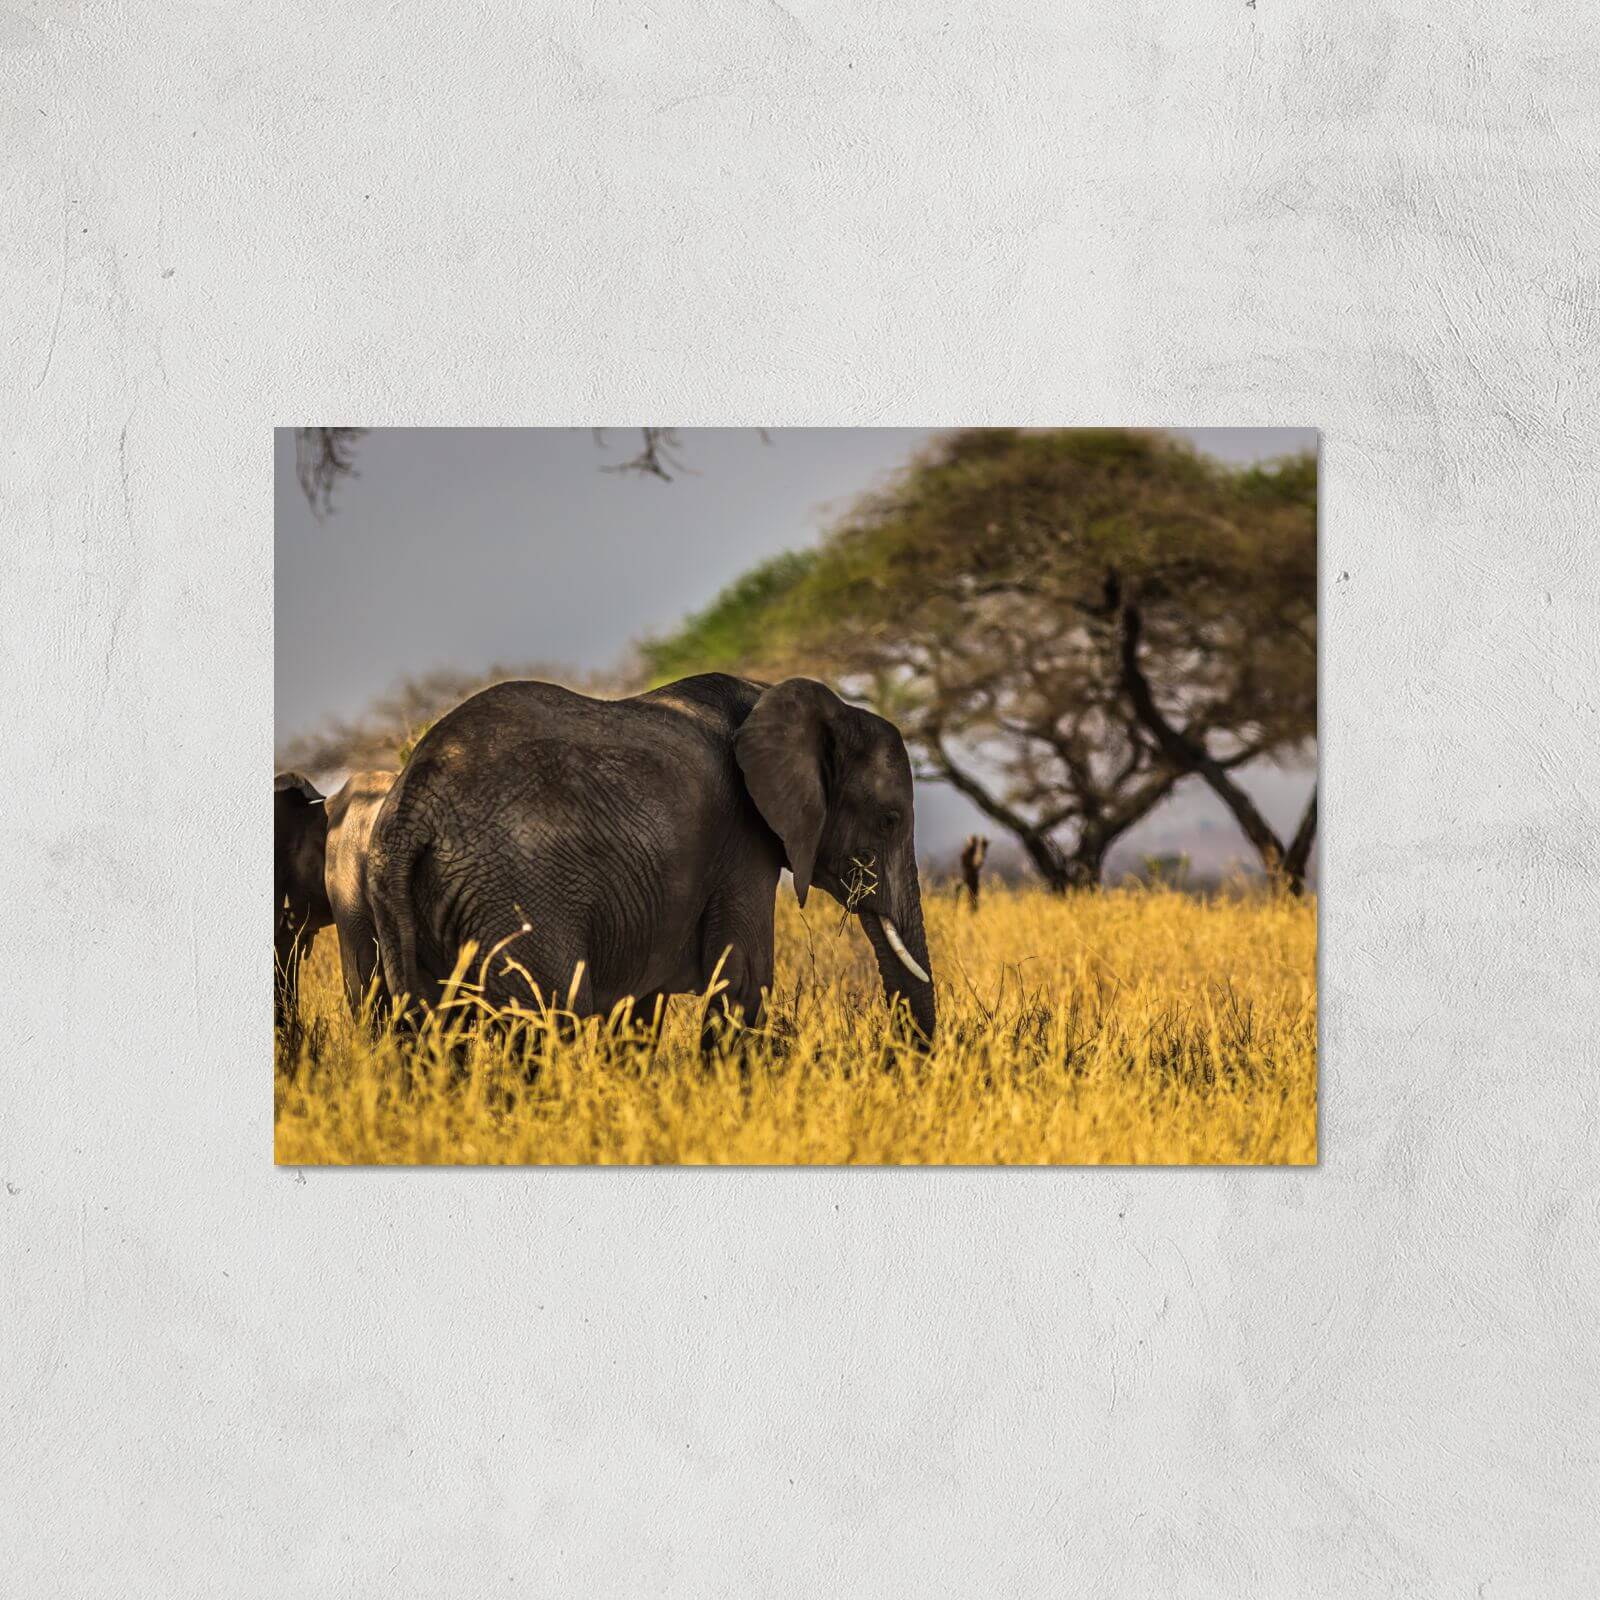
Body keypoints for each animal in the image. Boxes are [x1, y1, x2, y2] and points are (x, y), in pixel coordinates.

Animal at [366, 673, 935, 1045]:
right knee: (550, 1021)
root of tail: (414, 804)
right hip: (514, 895)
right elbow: (743, 981)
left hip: (403, 903)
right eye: (889, 820)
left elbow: (639, 1008)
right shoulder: (742, 839)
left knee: (425, 1028)